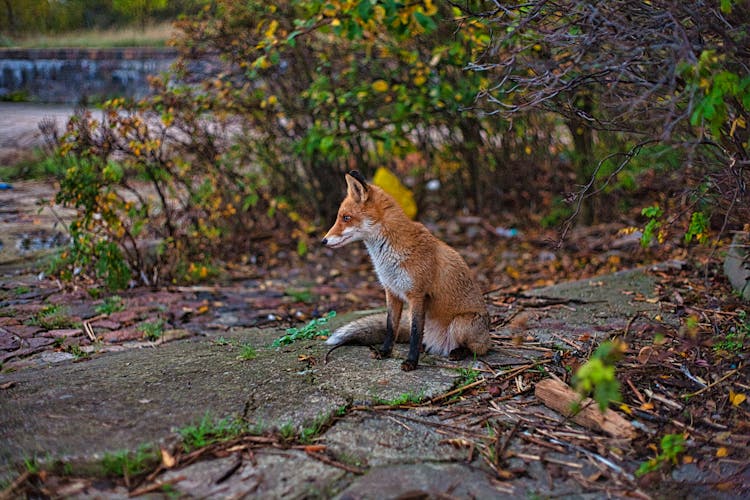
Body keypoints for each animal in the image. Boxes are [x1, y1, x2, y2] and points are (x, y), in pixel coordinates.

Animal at [324, 170, 494, 370]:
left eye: (346, 218)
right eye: (341, 217)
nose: (323, 241)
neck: (388, 257)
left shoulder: (417, 295)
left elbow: (414, 332)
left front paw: (411, 362)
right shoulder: (392, 292)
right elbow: (391, 327)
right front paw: (385, 352)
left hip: (461, 324)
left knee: (477, 349)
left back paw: (458, 352)